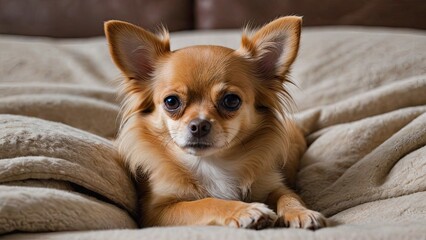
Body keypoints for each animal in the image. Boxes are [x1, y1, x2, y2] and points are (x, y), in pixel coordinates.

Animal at [105, 15, 324, 230]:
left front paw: (301, 212)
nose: (199, 125)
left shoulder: (274, 184)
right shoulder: (156, 212)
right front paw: (246, 210)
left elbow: (288, 195)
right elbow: (206, 202)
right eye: (171, 101)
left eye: (231, 100)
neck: (211, 163)